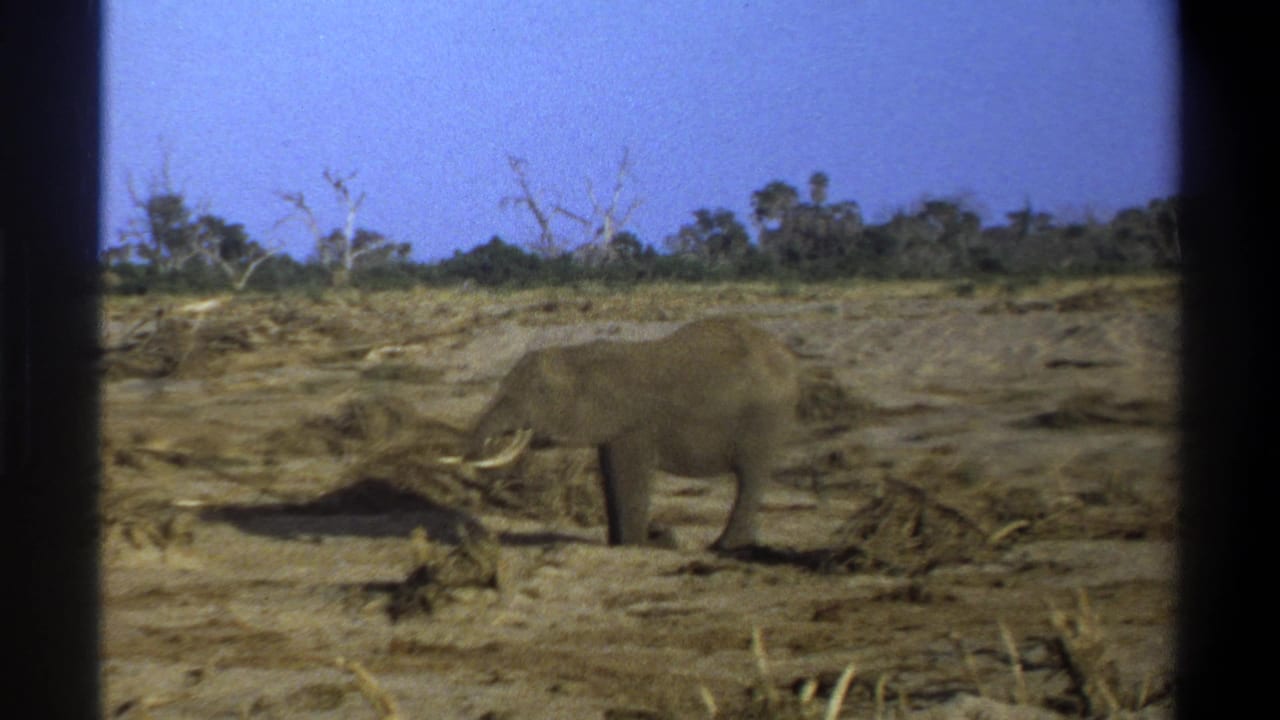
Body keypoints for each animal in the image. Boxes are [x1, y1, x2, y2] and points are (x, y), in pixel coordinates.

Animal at [444, 317, 799, 550]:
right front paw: (624, 543)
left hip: (765, 418)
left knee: (751, 476)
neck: (579, 356)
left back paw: (724, 547)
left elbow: (628, 475)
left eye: (540, 393)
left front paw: (636, 545)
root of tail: (786, 354)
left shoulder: (634, 423)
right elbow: (610, 474)